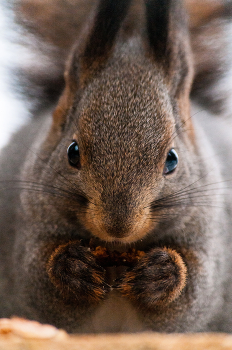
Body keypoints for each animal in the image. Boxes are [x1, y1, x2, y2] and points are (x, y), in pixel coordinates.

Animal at [0, 0, 232, 334]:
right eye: (72, 152)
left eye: (172, 159)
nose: (118, 226)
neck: (118, 251)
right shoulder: (28, 228)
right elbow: (37, 284)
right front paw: (72, 268)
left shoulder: (211, 236)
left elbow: (196, 295)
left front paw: (162, 275)